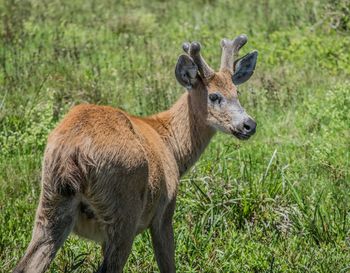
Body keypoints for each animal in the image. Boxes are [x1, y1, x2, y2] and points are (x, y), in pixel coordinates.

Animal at [13, 35, 258, 270]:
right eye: (214, 96)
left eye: (237, 92)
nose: (249, 125)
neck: (170, 143)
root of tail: (73, 151)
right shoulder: (164, 211)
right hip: (124, 208)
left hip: (51, 203)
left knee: (26, 265)